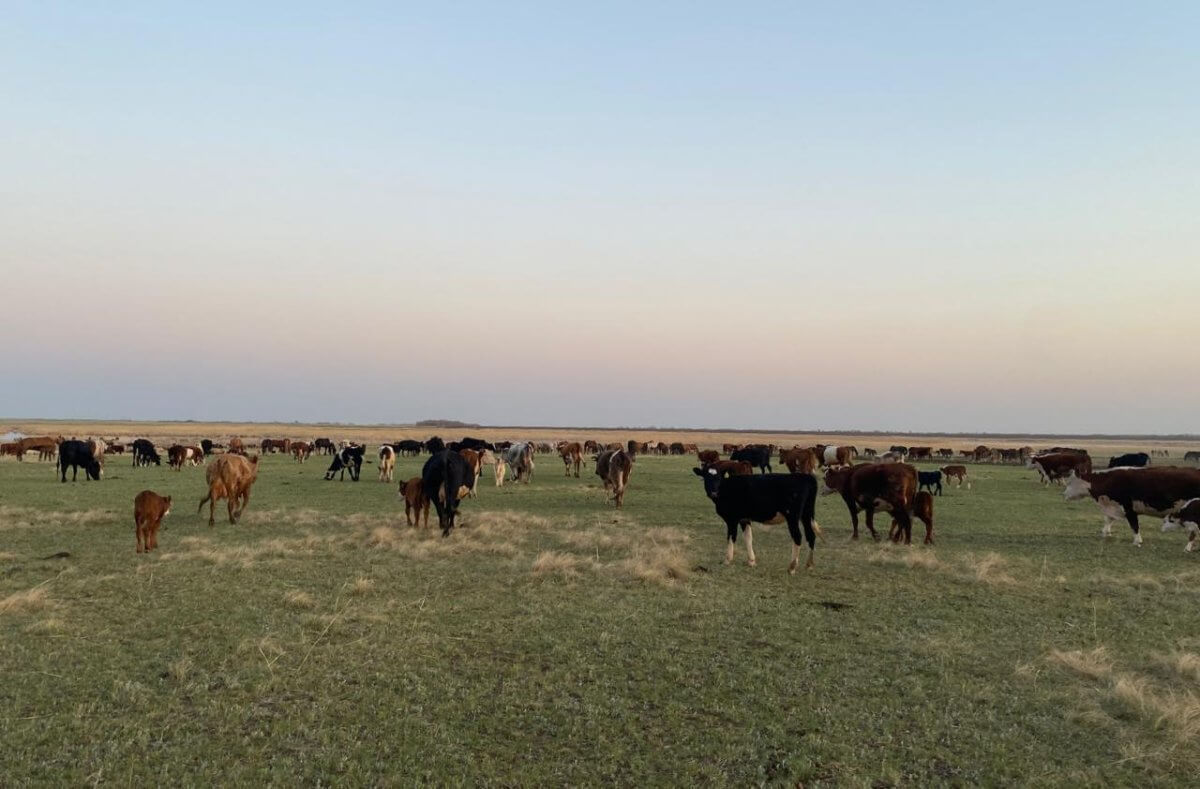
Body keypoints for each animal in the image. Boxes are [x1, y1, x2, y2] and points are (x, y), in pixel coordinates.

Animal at [691, 462, 820, 568]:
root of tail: (805, 477)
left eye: (718, 478)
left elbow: (731, 537)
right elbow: (748, 537)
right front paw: (751, 561)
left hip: (792, 517)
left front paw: (727, 560)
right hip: (806, 514)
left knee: (797, 536)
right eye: (706, 478)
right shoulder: (744, 519)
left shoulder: (732, 519)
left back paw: (792, 567)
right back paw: (809, 564)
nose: (713, 492)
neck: (727, 488)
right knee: (811, 535)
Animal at [1065, 462, 1200, 544]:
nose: (1064, 494)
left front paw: (1137, 541)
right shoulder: (1114, 506)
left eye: (1070, 482)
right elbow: (1108, 520)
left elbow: (1134, 526)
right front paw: (1105, 533)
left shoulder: (1128, 508)